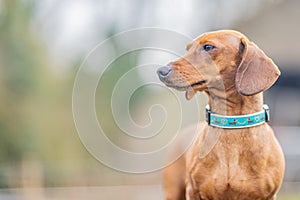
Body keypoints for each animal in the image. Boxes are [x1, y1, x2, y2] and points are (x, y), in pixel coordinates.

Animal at [157, 30, 286, 200]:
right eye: (188, 49)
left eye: (208, 47)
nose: (161, 71)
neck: (232, 124)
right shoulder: (193, 192)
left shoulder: (267, 195)